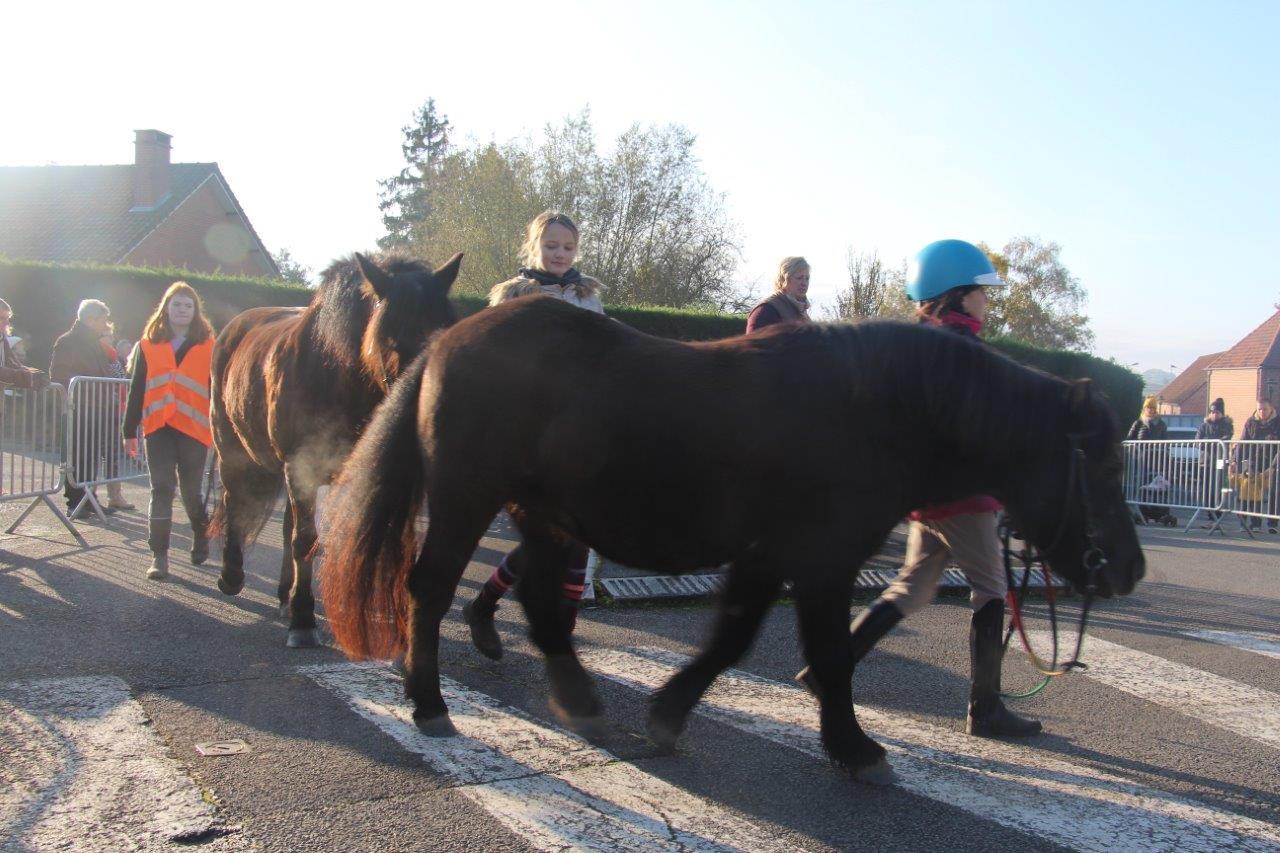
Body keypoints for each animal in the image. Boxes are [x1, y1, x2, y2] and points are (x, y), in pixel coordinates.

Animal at [212, 252, 463, 645]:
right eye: (392, 336)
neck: (337, 377)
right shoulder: (301, 467)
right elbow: (306, 540)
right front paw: (303, 618)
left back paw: (282, 594)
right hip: (232, 451)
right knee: (234, 503)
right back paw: (232, 576)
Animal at [317, 297, 1141, 778]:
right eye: (1101, 464)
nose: (1126, 570)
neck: (878, 408)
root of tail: (444, 341)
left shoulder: (771, 555)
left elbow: (732, 640)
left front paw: (671, 710)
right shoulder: (821, 558)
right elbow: (828, 655)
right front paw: (853, 745)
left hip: (539, 514)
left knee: (546, 609)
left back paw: (577, 699)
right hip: (468, 498)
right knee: (430, 589)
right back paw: (428, 700)